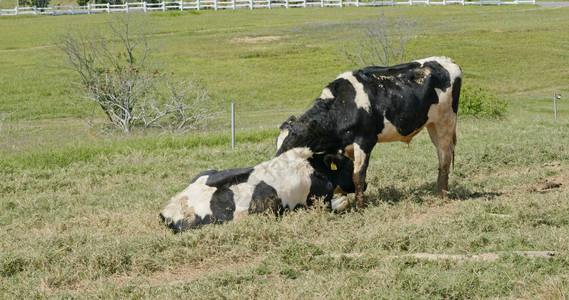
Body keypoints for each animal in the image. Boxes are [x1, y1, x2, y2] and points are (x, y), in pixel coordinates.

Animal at [276, 56, 462, 207]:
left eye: (297, 139)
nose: (277, 161)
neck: (342, 105)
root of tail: (449, 61)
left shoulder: (364, 140)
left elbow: (358, 175)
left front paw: (360, 207)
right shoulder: (346, 147)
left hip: (445, 121)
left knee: (444, 156)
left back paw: (440, 196)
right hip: (432, 124)